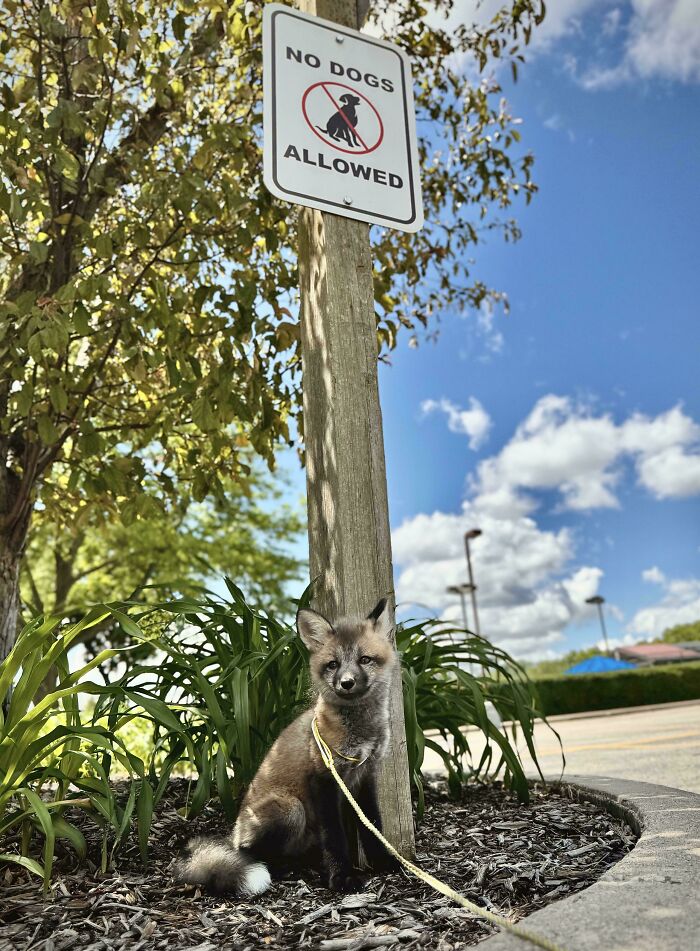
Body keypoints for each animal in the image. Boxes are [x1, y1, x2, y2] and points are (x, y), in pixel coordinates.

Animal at [174, 598, 400, 896]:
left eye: (365, 659)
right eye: (333, 664)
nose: (346, 683)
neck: (359, 733)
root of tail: (233, 834)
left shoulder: (365, 777)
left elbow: (372, 827)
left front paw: (383, 862)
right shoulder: (323, 779)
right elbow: (335, 838)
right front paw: (341, 877)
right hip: (291, 809)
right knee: (248, 853)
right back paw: (274, 868)